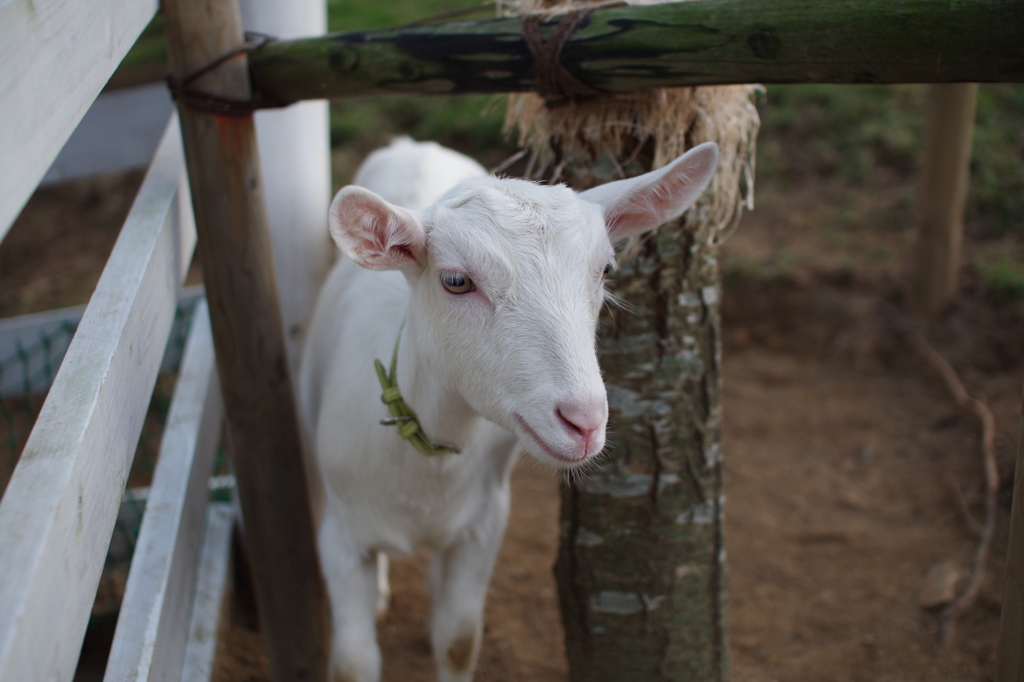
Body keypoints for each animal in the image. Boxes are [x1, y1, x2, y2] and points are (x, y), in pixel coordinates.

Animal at [296, 137, 720, 679]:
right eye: (456, 280)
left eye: (605, 270)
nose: (584, 422)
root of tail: (415, 144)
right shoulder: (342, 539)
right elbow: (352, 662)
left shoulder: (484, 525)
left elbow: (458, 639)